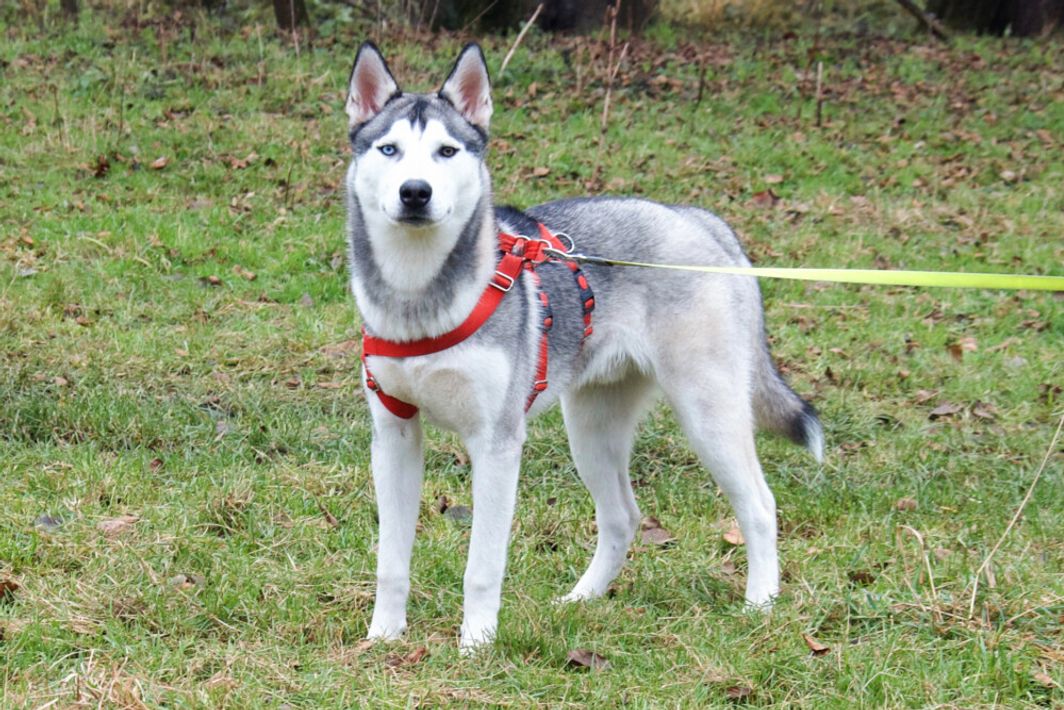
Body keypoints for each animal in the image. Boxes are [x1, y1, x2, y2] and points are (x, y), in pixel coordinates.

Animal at [343, 42, 823, 651]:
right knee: (622, 516)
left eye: (446, 151)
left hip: (708, 414)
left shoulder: (496, 444)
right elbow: (391, 559)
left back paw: (760, 604)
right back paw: (582, 599)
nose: (415, 192)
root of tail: (699, 219)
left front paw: (476, 646)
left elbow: (482, 566)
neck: (418, 295)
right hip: (591, 428)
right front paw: (383, 637)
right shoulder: (394, 433)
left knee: (760, 506)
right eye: (390, 149)